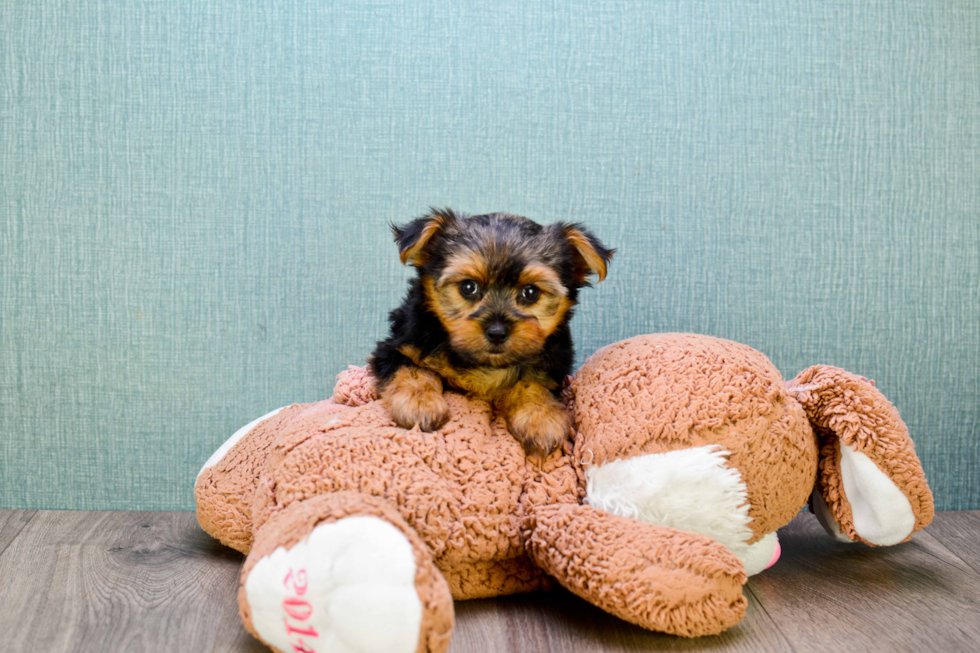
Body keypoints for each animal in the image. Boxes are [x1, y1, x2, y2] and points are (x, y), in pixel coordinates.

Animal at [368, 206, 612, 456]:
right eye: (468, 287)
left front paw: (541, 417)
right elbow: (412, 369)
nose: (497, 332)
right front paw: (419, 403)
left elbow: (533, 382)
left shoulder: (554, 366)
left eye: (531, 292)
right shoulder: (399, 345)